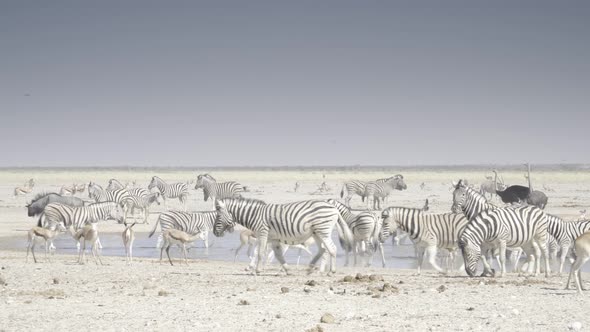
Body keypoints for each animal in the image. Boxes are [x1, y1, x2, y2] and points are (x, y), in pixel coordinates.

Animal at [213, 197, 354, 274]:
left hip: (323, 230)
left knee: (332, 249)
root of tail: (334, 208)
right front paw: (287, 269)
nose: (214, 232)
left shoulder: (263, 233)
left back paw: (331, 271)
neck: (255, 215)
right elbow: (277, 255)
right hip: (316, 233)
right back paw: (310, 268)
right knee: (323, 249)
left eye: (218, 216)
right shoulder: (273, 238)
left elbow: (260, 253)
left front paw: (257, 270)